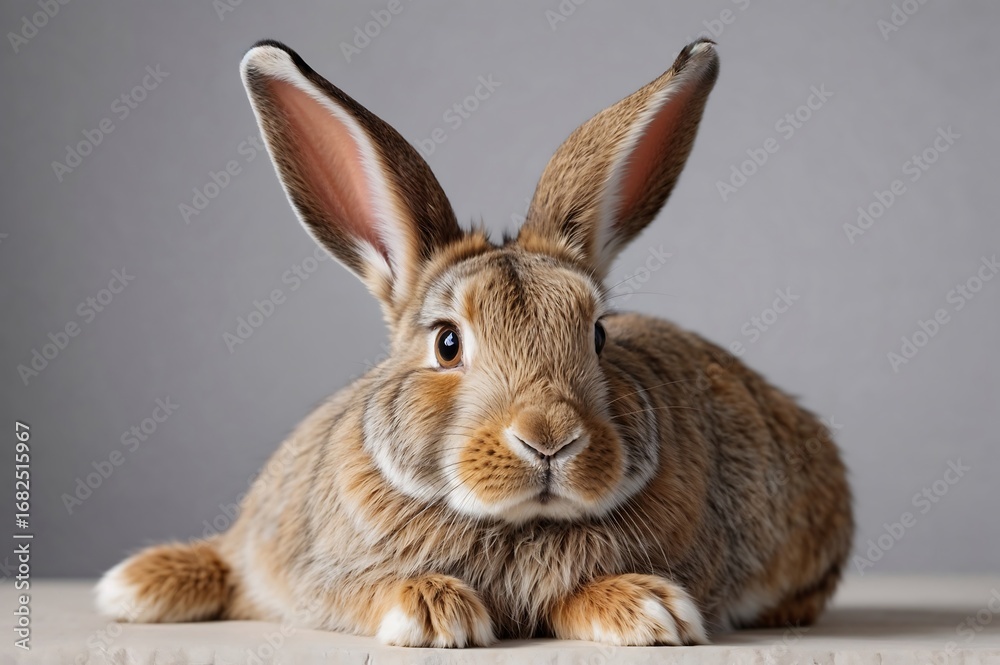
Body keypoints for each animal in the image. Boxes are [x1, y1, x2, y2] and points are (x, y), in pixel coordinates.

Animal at [95, 37, 853, 647]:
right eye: (448, 343)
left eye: (598, 334)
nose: (549, 438)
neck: (513, 521)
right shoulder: (321, 574)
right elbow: (357, 590)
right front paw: (433, 611)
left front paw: (649, 611)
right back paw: (133, 585)